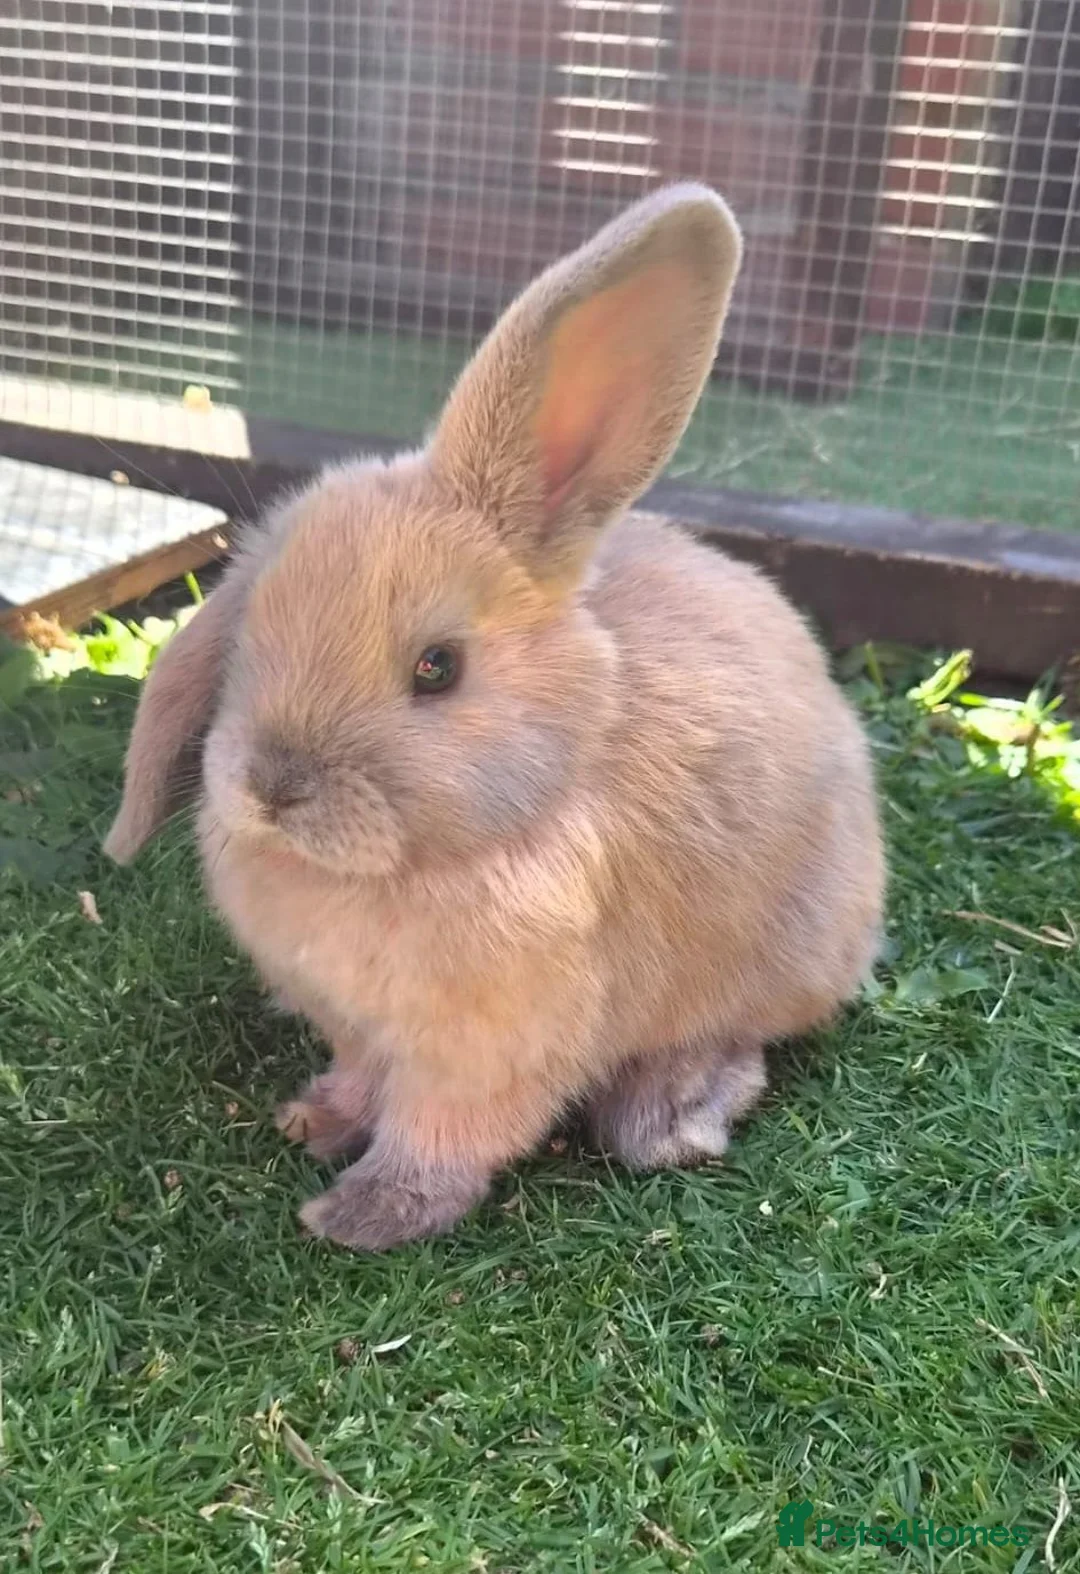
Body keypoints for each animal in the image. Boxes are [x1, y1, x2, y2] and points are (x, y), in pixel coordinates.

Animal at [104, 183, 885, 1252]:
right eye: (249, 632)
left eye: (437, 669)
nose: (272, 786)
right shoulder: (358, 1026)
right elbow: (362, 1079)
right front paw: (315, 1119)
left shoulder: (492, 1047)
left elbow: (443, 1134)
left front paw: (363, 1214)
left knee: (741, 1035)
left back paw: (671, 1115)